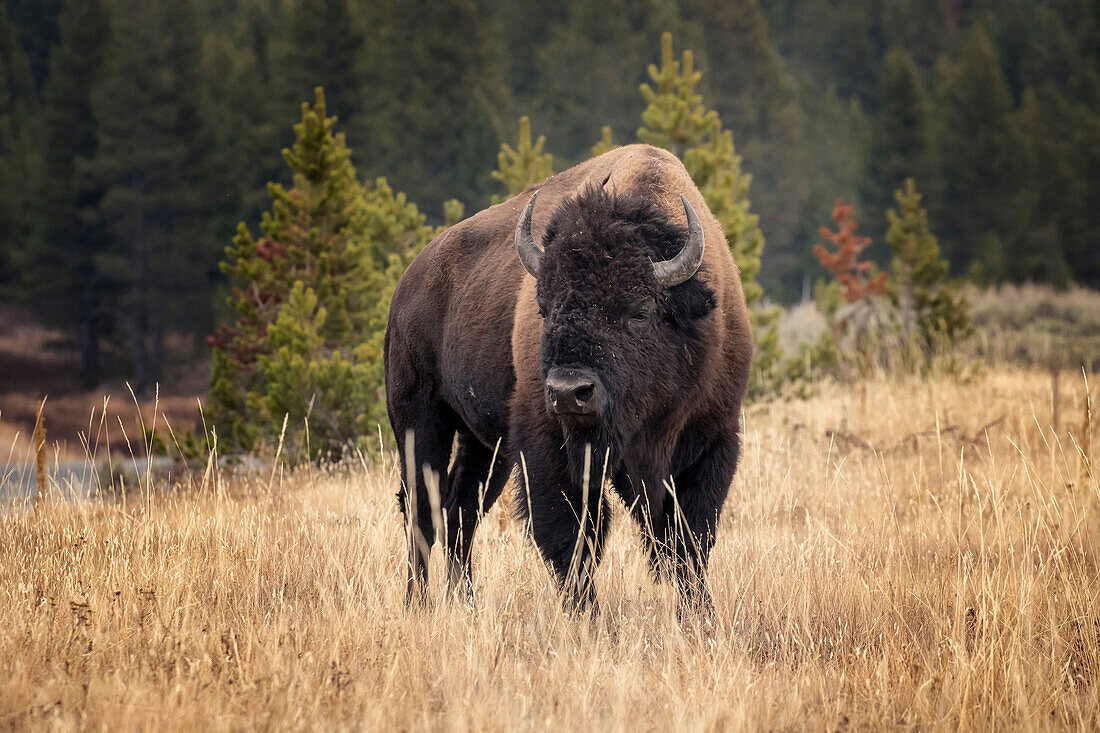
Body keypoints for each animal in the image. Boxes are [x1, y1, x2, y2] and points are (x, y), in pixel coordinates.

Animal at [382, 140, 752, 603]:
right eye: (543, 307)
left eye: (639, 311)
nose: (567, 391)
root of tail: (409, 282)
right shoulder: (548, 447)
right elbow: (572, 538)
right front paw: (587, 614)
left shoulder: (711, 442)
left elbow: (688, 543)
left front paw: (700, 614)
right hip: (419, 420)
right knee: (422, 509)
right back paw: (417, 603)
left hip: (485, 446)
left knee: (460, 510)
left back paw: (463, 601)